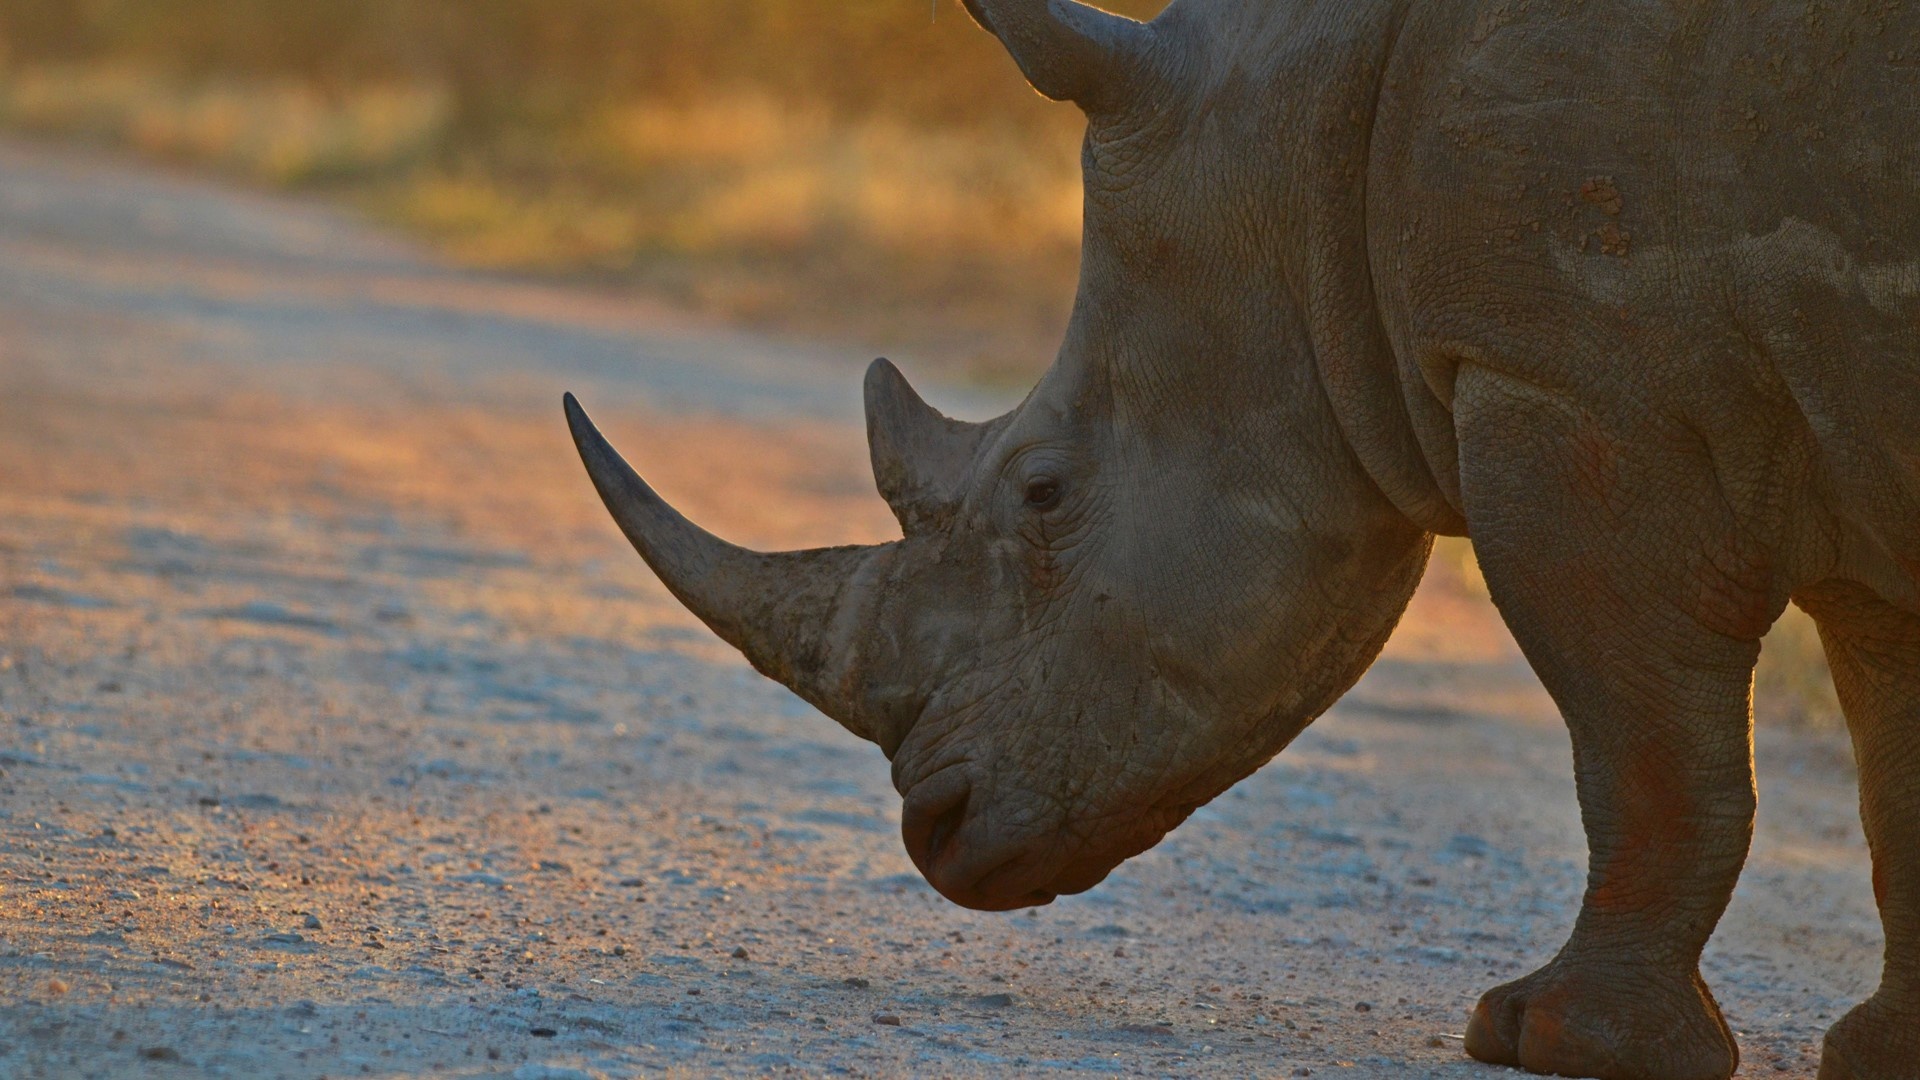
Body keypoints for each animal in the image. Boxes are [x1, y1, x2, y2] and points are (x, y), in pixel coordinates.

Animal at [560, 2, 1920, 1076]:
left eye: (1044, 494)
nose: (932, 832)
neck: (1315, 153)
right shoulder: (1827, 428)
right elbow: (1888, 767)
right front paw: (1882, 1053)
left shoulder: (1575, 381)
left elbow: (1644, 746)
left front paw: (1554, 1043)